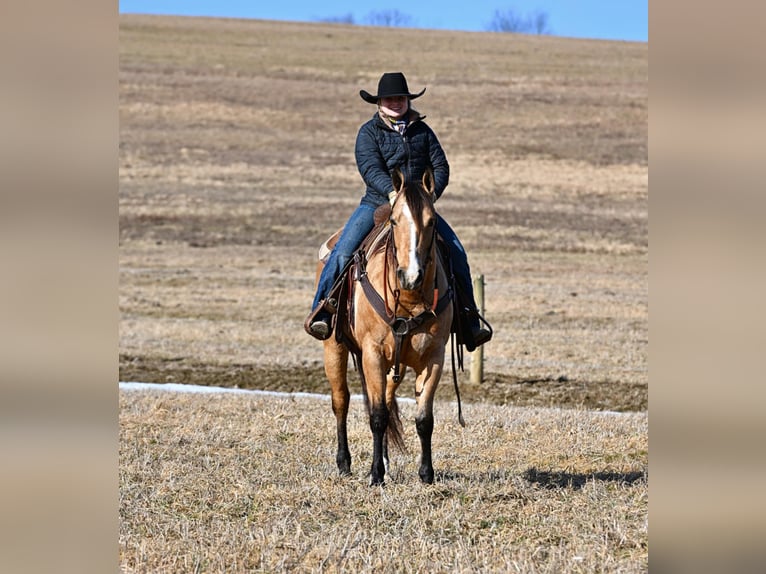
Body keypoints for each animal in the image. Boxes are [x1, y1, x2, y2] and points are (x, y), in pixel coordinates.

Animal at [316, 170, 460, 486]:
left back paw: (383, 459)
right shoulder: (372, 353)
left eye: (432, 221)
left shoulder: (434, 357)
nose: (411, 275)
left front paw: (426, 474)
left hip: (396, 366)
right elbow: (378, 415)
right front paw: (375, 476)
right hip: (334, 346)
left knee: (387, 397)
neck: (408, 299)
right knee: (341, 400)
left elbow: (424, 419)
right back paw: (344, 463)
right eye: (394, 221)